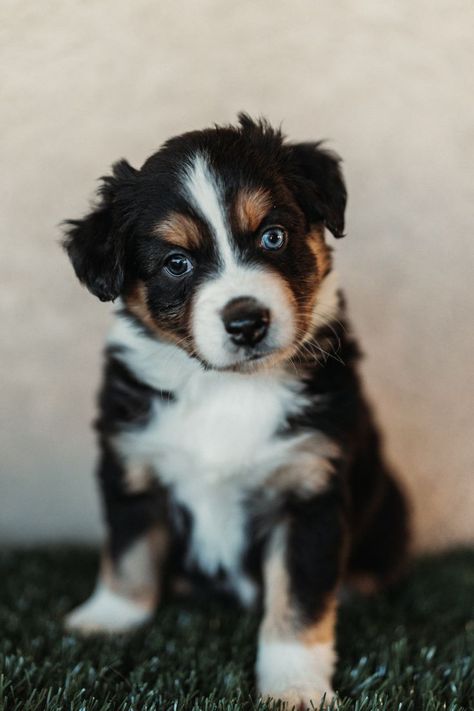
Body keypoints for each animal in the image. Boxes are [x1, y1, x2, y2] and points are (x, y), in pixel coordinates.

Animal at [62, 115, 412, 708]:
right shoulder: (132, 464)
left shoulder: (309, 494)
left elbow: (297, 606)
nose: (246, 322)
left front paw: (295, 687)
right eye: (176, 263)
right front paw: (107, 620)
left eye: (273, 235)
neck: (226, 387)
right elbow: (128, 554)